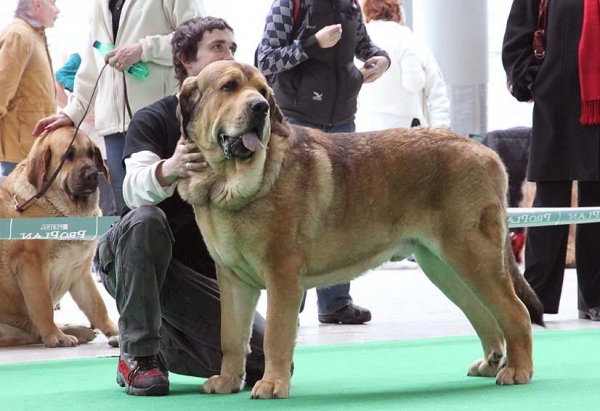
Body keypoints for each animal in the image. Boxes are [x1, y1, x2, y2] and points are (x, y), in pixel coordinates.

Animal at [0, 126, 118, 348]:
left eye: (91, 153)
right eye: (68, 155)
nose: (92, 175)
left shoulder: (80, 272)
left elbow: (97, 305)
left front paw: (115, 331)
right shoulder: (31, 265)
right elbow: (43, 305)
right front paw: (56, 336)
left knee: (32, 333)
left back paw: (79, 330)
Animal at [176, 61, 548, 400]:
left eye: (264, 92)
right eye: (229, 87)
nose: (261, 108)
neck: (232, 183)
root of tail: (486, 151)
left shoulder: (282, 274)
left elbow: (275, 337)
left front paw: (272, 384)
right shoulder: (232, 279)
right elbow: (231, 336)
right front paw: (227, 381)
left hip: (472, 254)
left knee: (515, 312)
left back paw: (518, 370)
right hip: (443, 266)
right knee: (482, 312)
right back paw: (491, 362)